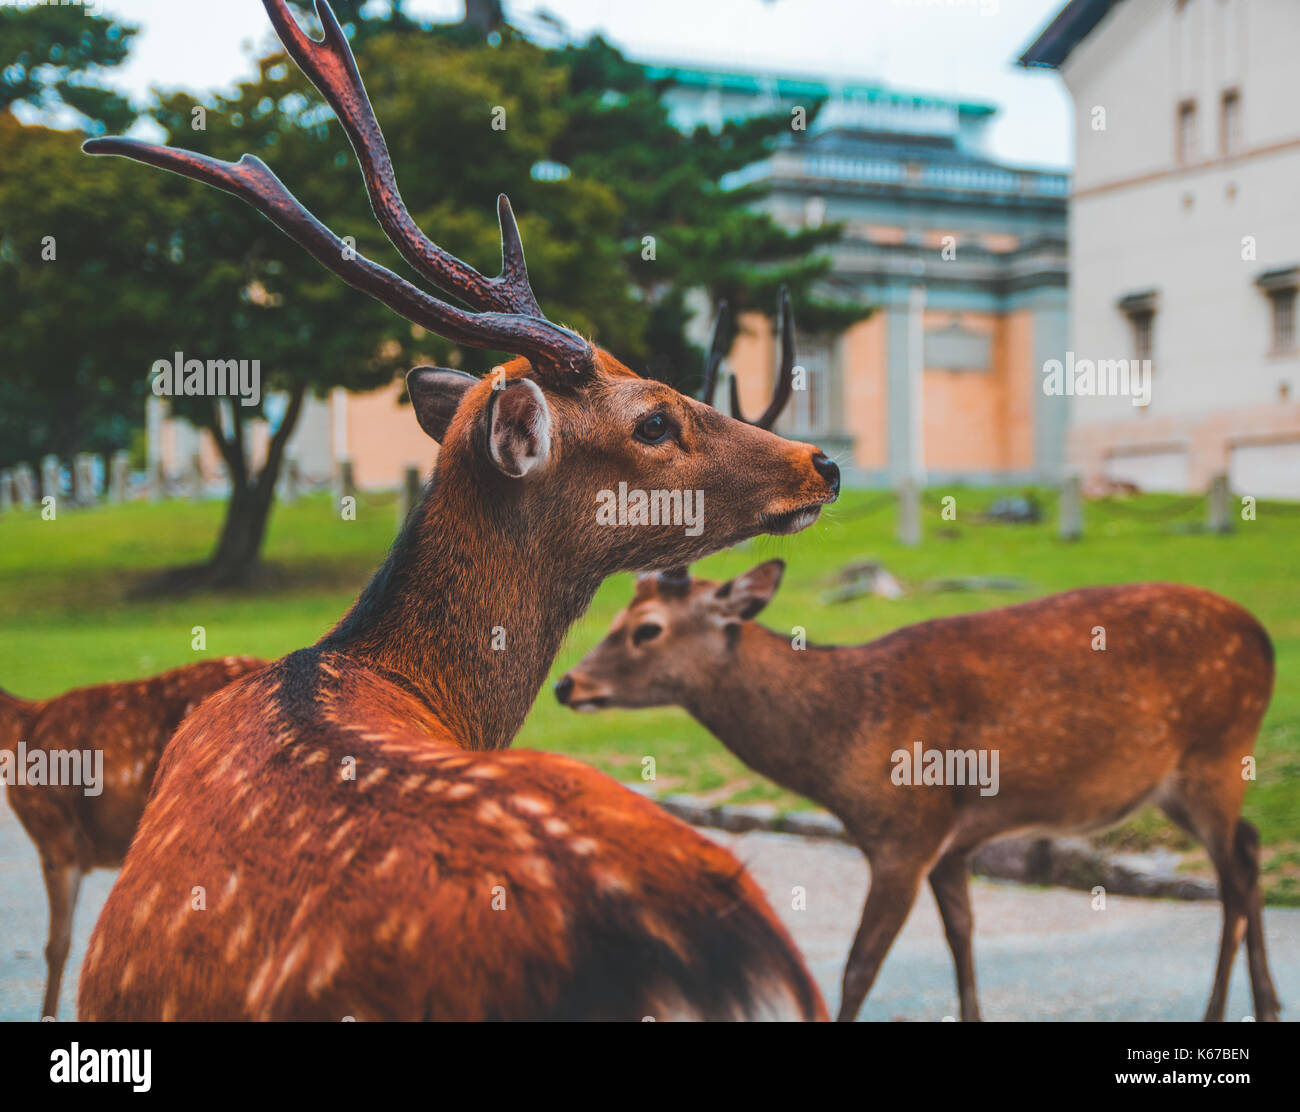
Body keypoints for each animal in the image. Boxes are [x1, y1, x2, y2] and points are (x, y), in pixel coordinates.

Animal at [559, 564, 1279, 1024]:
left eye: (646, 628)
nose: (568, 685)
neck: (840, 746)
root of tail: (1267, 640)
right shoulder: (951, 841)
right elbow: (962, 939)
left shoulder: (904, 834)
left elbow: (858, 966)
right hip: (1187, 781)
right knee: (1250, 848)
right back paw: (1267, 1005)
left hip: (1216, 751)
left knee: (1236, 872)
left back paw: (1220, 1012)